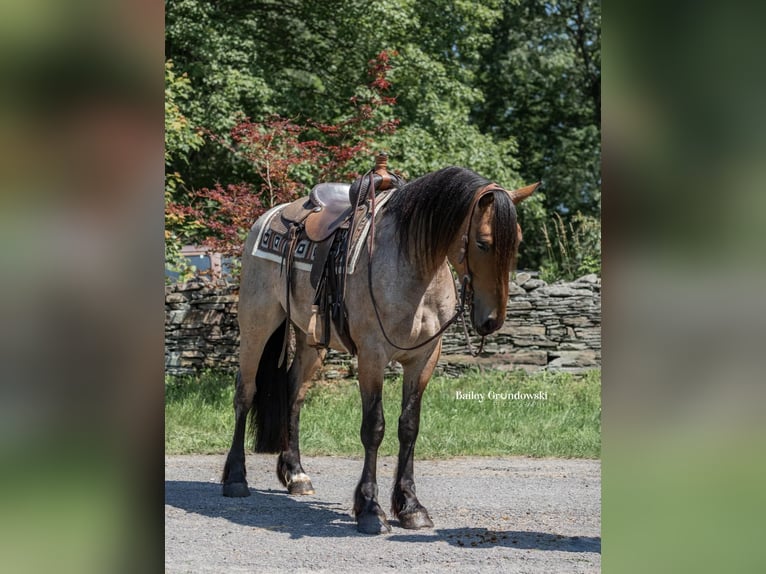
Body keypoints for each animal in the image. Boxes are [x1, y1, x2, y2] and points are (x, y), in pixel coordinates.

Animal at [222, 165, 540, 536]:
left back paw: (296, 474)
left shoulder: (423, 359)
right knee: (245, 392)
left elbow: (409, 427)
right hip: (257, 324)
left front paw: (410, 506)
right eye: (482, 243)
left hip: (310, 342)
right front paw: (370, 509)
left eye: (517, 241)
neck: (413, 268)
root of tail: (271, 215)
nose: (491, 320)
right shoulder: (372, 357)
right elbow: (374, 428)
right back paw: (235, 478)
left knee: (293, 395)